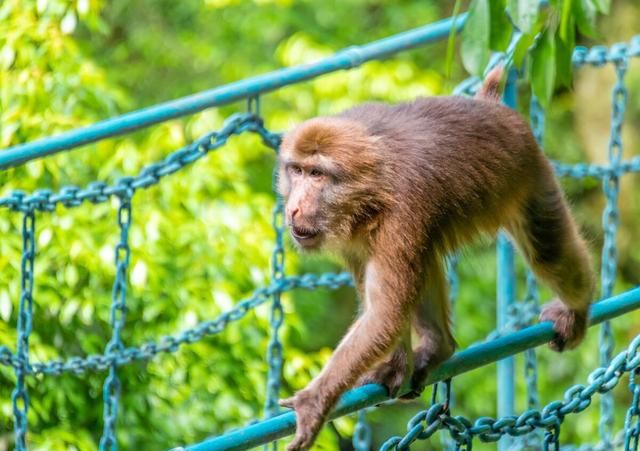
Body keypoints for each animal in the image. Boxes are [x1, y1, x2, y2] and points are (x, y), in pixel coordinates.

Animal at [276, 68, 596, 451]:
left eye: (317, 175)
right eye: (296, 171)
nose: (294, 207)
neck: (368, 195)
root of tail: (489, 106)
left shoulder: (402, 212)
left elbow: (385, 313)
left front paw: (314, 401)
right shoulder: (354, 239)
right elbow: (385, 308)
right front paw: (396, 366)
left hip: (528, 172)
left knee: (547, 253)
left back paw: (578, 308)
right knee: (424, 257)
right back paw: (440, 346)